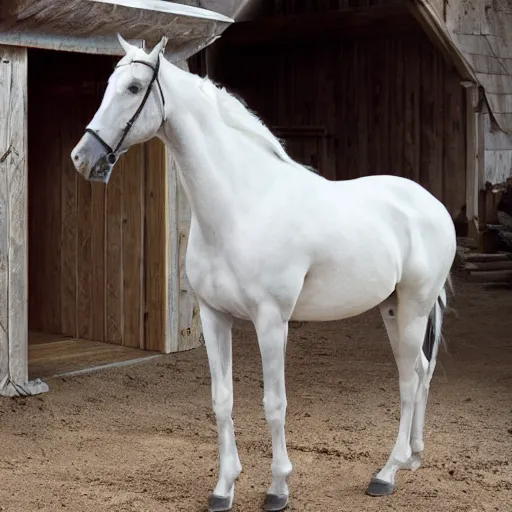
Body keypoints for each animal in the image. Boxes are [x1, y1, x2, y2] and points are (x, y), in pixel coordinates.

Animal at [71, 37, 456, 512]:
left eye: (134, 87)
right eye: (109, 85)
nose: (82, 158)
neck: (241, 206)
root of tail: (431, 204)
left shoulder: (271, 321)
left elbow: (275, 403)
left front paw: (278, 488)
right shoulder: (214, 317)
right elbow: (222, 400)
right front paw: (223, 488)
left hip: (415, 306)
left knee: (408, 378)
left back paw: (387, 473)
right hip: (392, 307)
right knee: (419, 369)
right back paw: (414, 459)